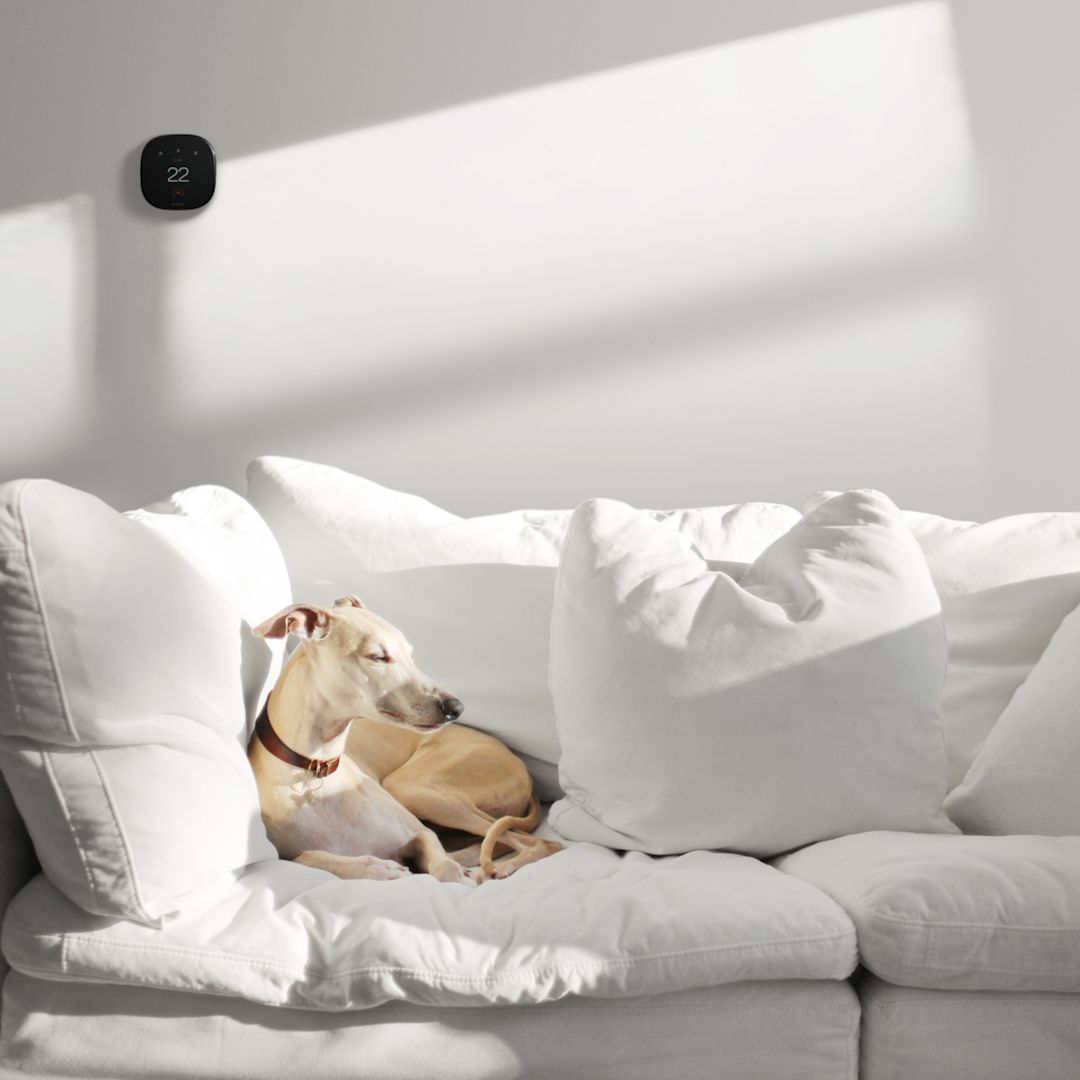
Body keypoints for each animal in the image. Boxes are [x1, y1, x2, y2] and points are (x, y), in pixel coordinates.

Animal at [248, 596, 561, 881]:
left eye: (411, 655)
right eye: (378, 657)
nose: (456, 708)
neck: (314, 774)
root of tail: (522, 767)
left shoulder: (420, 833)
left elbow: (442, 864)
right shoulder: (289, 855)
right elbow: (311, 856)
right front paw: (376, 867)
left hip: (416, 790)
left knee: (537, 841)